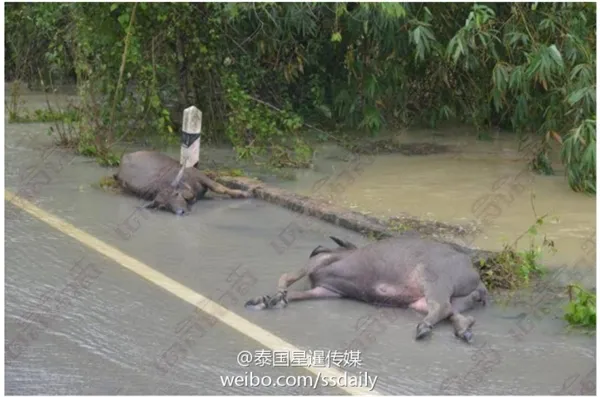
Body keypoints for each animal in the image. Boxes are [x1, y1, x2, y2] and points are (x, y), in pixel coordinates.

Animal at [113, 150, 250, 215]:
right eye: (164, 206)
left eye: (176, 194)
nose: (180, 212)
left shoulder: (200, 175)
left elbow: (219, 187)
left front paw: (242, 193)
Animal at [244, 234, 488, 342]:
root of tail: (476, 277)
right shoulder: (328, 291)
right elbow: (296, 294)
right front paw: (267, 299)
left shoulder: (320, 262)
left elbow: (287, 276)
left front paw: (272, 296)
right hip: (447, 299)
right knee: (451, 311)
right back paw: (464, 329)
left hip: (433, 278)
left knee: (440, 307)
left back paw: (424, 328)